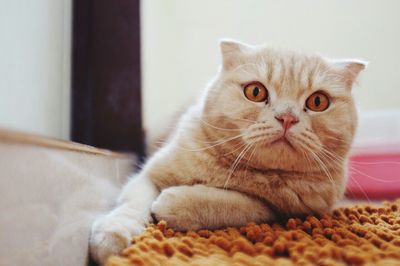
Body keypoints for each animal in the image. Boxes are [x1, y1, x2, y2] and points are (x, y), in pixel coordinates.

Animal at [90, 40, 366, 264]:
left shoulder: (282, 211)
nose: (287, 117)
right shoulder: (147, 175)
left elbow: (232, 202)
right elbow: (132, 204)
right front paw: (111, 236)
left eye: (318, 101)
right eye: (256, 91)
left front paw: (174, 202)